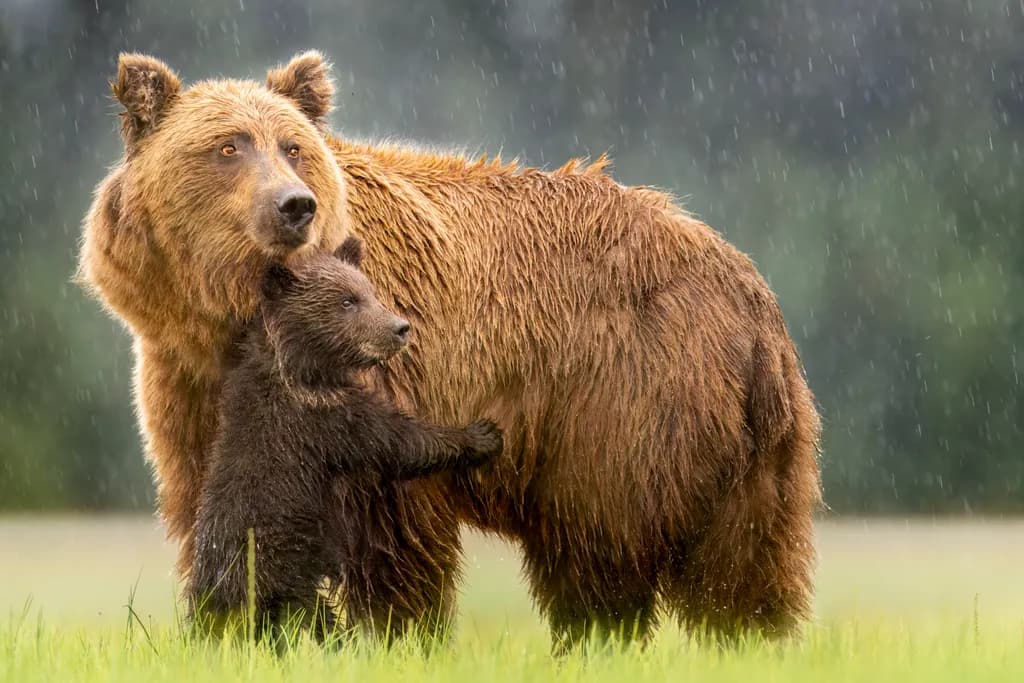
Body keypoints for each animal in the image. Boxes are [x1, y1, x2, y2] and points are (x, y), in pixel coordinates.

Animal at [187, 237, 503, 644]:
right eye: (347, 300)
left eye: (369, 291)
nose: (400, 328)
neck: (305, 369)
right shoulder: (323, 419)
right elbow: (399, 443)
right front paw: (482, 435)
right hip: (276, 566)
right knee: (311, 620)